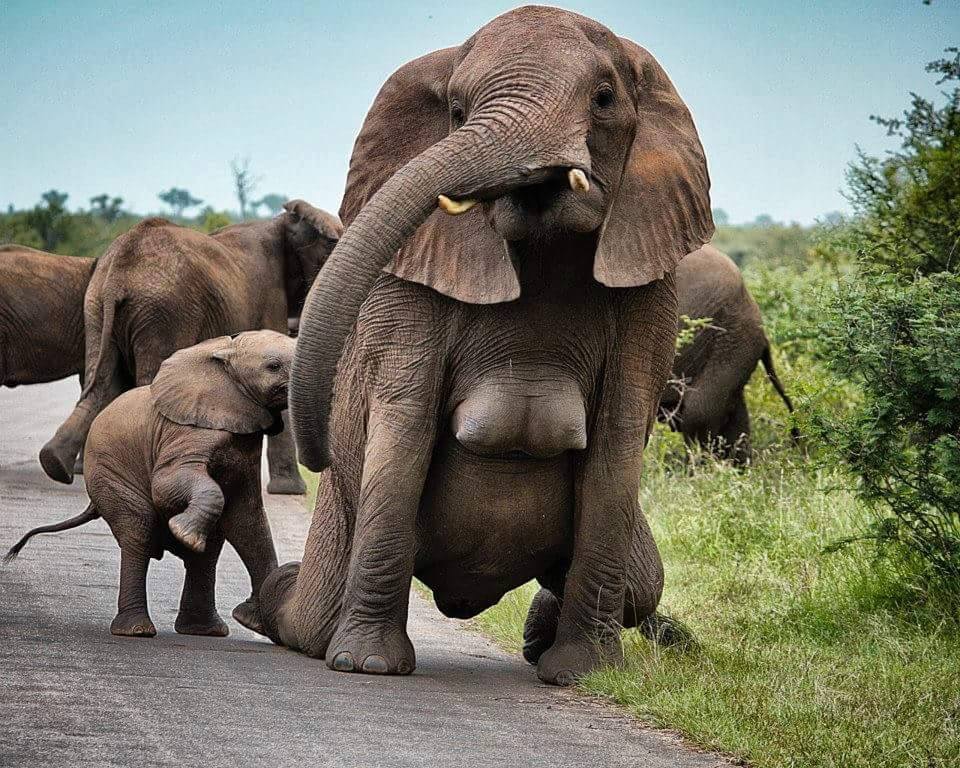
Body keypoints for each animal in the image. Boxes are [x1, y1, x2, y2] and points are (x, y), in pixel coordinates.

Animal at [6, 330, 293, 638]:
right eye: (273, 366)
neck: (224, 352)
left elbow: (248, 519)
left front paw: (251, 621)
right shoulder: (186, 431)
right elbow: (166, 486)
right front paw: (183, 533)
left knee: (208, 550)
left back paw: (205, 630)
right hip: (110, 479)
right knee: (138, 533)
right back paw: (138, 630)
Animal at [39, 199, 342, 494]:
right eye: (331, 244)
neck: (283, 222)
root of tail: (119, 271)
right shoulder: (270, 296)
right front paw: (291, 491)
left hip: (97, 306)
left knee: (100, 384)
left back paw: (54, 464)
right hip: (164, 311)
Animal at [252, 6, 714, 686]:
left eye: (604, 99)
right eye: (457, 109)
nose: (320, 453)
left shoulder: (651, 295)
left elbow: (618, 442)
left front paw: (582, 675)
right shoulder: (411, 287)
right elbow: (404, 427)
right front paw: (367, 666)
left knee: (642, 581)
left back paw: (540, 637)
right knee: (308, 618)